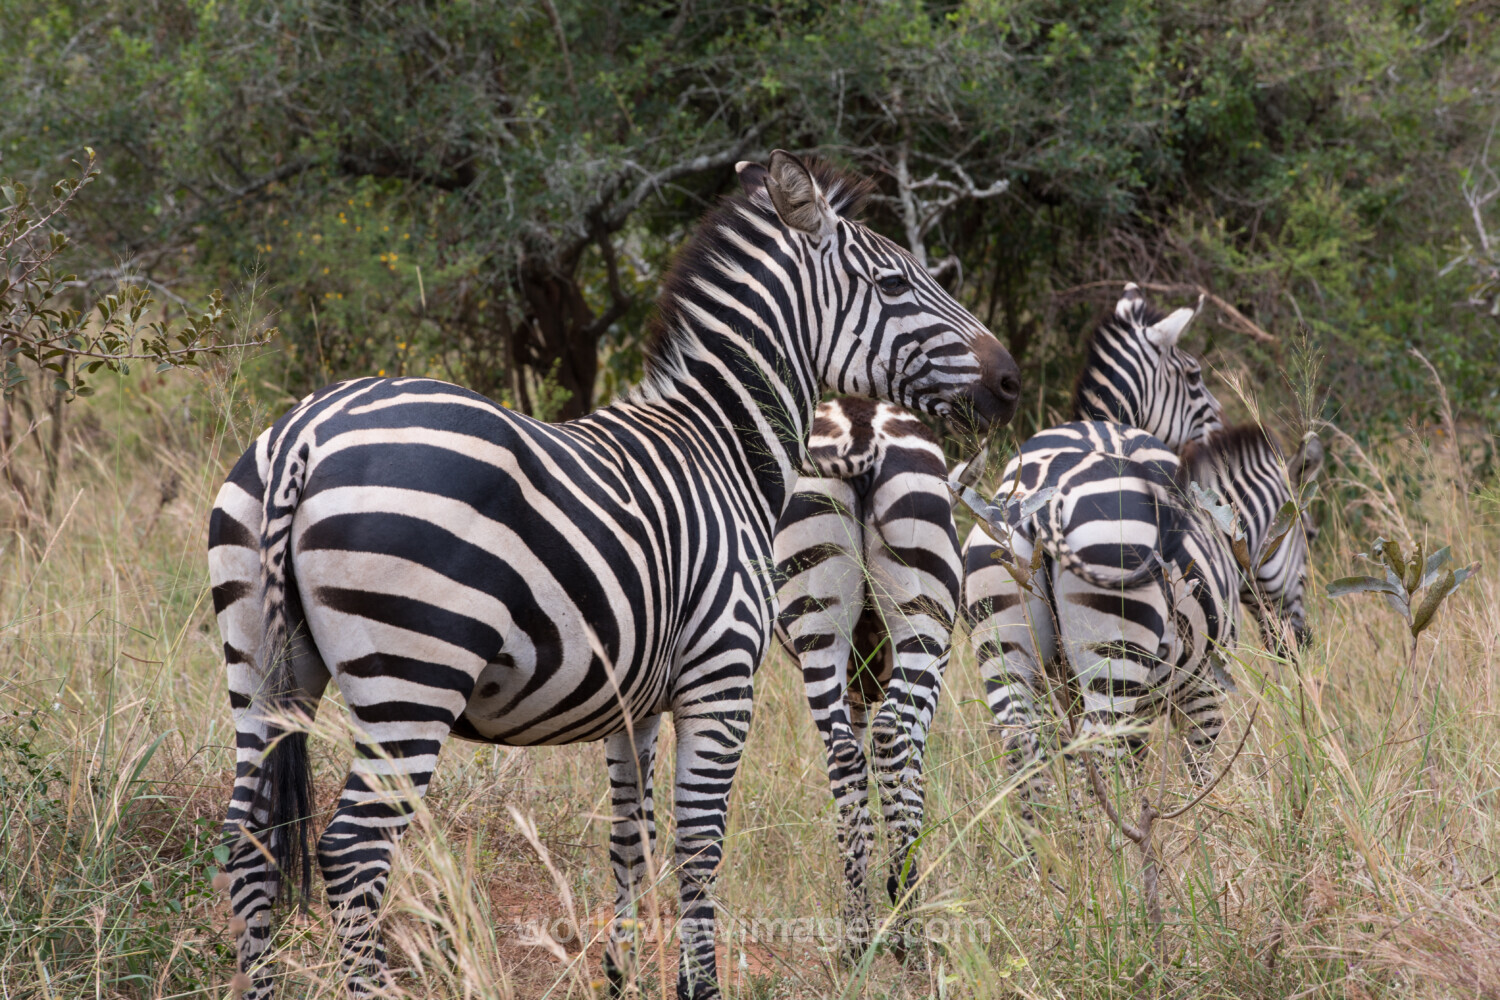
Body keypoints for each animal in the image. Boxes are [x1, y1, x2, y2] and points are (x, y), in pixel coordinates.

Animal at [208, 150, 1021, 1000]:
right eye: (893, 283)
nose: (1010, 380)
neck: (723, 445)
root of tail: (304, 436)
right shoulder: (720, 678)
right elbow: (699, 845)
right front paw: (699, 985)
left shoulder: (636, 706)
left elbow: (632, 837)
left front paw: (622, 975)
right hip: (411, 677)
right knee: (354, 850)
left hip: (260, 668)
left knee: (249, 845)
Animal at [771, 282, 1217, 956]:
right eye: (1192, 376)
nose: (1217, 436)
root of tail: (860, 425)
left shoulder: (867, 668)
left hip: (853, 624)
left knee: (881, 751)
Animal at [959, 421, 1321, 808]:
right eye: (1309, 535)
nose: (1298, 644)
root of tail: (1044, 506)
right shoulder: (1205, 687)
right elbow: (1200, 770)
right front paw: (1201, 818)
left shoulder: (1135, 706)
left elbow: (1128, 767)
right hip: (1114, 654)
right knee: (1098, 756)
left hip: (1003, 651)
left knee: (1025, 758)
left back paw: (1052, 828)